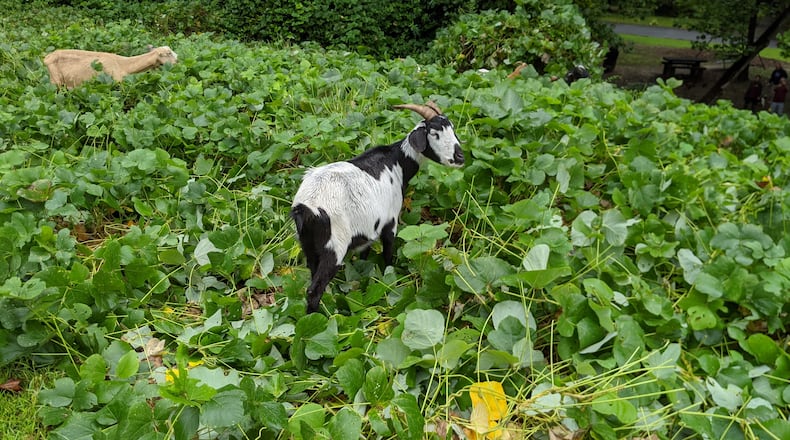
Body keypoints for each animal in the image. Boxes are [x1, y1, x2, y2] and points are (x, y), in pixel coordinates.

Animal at [291, 101, 465, 313]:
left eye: (452, 129)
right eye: (434, 133)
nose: (460, 157)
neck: (397, 162)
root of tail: (305, 207)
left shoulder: (368, 230)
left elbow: (365, 257)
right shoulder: (390, 221)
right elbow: (388, 255)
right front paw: (391, 280)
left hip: (308, 244)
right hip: (334, 246)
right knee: (314, 290)